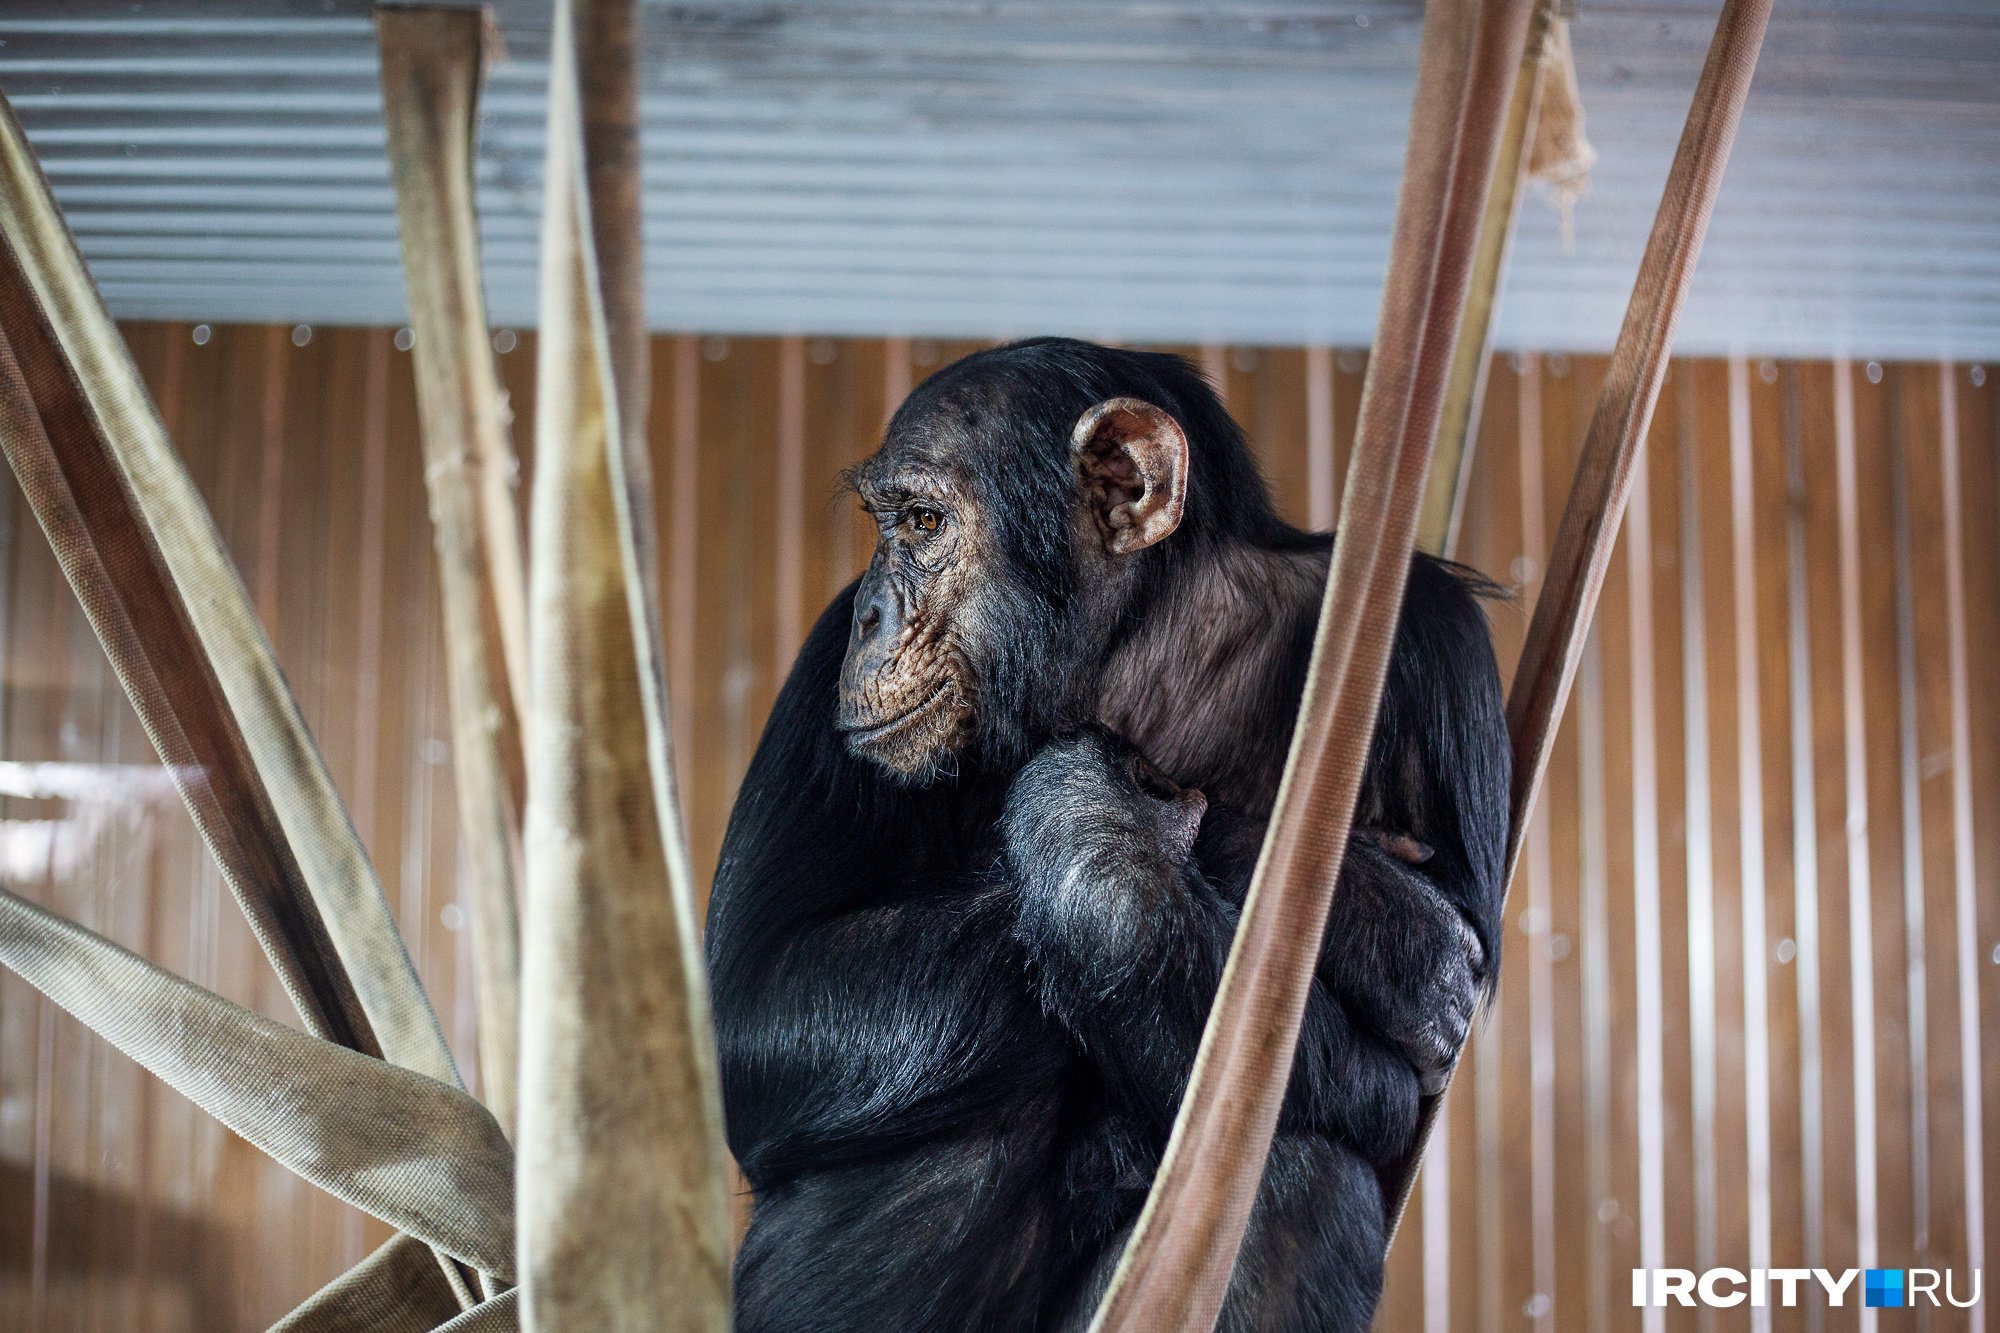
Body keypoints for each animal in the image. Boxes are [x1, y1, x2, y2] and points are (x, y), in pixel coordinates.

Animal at [704, 340, 1504, 1328]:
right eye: (886, 526)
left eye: (924, 521)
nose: (871, 614)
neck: (1145, 653)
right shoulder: (821, 664)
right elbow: (758, 996)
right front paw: (1380, 925)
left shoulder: (1436, 639)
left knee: (1299, 1173)